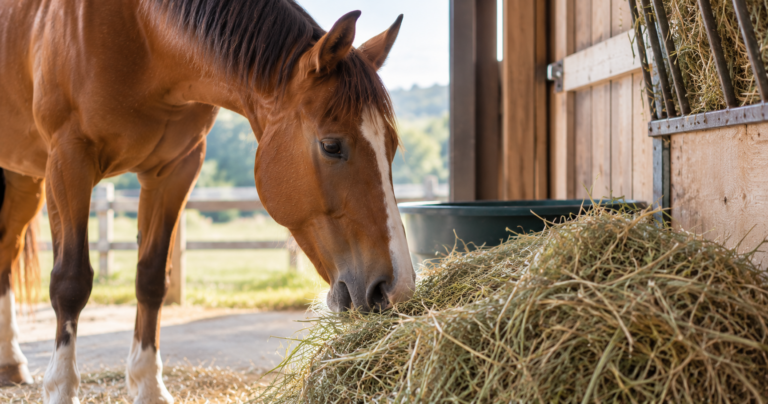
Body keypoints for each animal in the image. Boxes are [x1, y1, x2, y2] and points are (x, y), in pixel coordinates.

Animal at [0, 0, 415, 401]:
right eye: (331, 146)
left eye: (392, 147)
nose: (396, 289)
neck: (142, 34)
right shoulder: (69, 161)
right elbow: (70, 282)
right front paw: (60, 388)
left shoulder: (176, 169)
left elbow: (152, 278)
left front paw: (149, 386)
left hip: (25, 179)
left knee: (7, 249)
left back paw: (10, 363)